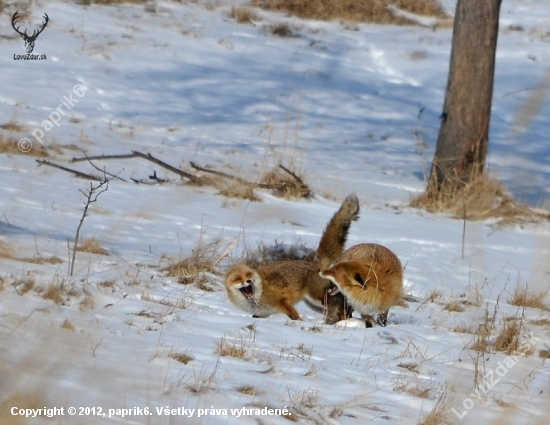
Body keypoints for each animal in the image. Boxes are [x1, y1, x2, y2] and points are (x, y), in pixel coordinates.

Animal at [225, 194, 362, 322]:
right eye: (237, 278)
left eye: (248, 275)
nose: (248, 281)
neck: (258, 294)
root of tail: (315, 264)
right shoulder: (262, 314)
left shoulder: (282, 302)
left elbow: (294, 316)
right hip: (315, 304)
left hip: (319, 299)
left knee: (342, 309)